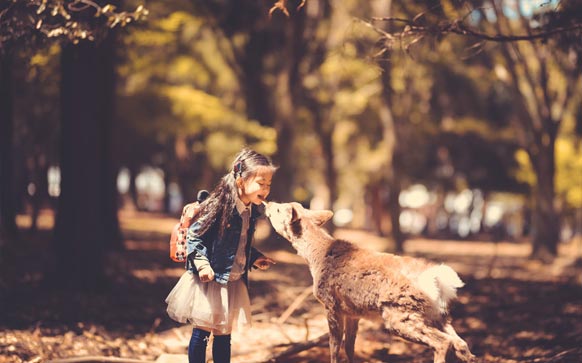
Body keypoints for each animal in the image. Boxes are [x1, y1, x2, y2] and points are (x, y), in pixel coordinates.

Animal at [266, 202, 476, 363]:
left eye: (279, 209)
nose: (267, 204)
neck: (315, 258)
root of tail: (438, 280)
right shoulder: (352, 312)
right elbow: (349, 346)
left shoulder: (331, 304)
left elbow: (334, 346)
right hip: (438, 315)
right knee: (461, 344)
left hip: (400, 314)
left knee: (443, 342)